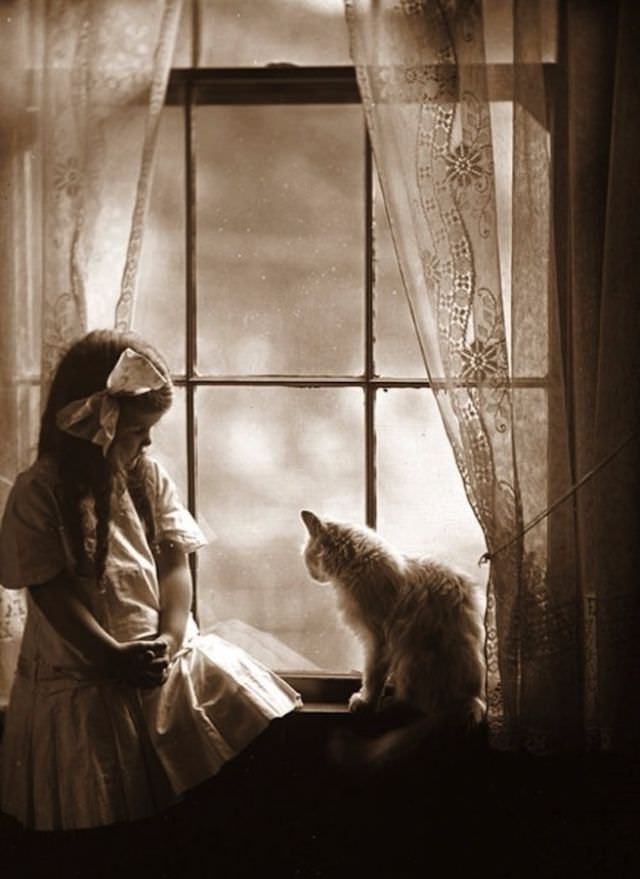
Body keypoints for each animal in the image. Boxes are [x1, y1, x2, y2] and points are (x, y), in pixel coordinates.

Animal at [300, 508, 484, 768]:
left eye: (308, 557)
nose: (311, 574)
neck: (359, 564)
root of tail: (471, 700)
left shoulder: (377, 638)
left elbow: (372, 675)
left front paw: (366, 702)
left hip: (411, 655)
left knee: (414, 704)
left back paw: (390, 703)